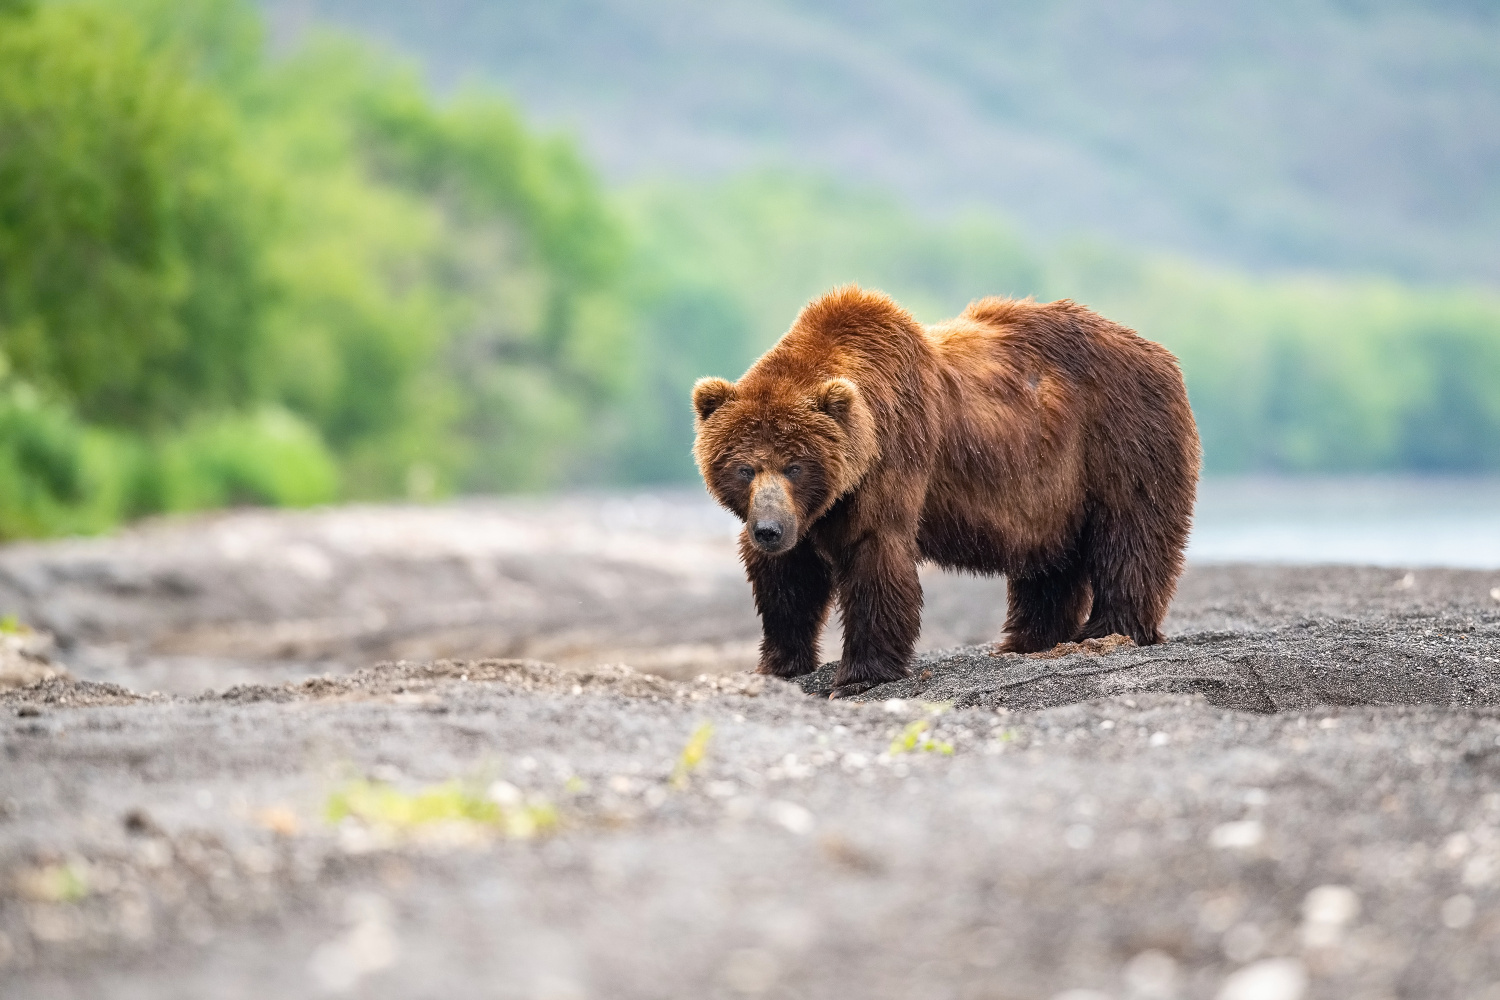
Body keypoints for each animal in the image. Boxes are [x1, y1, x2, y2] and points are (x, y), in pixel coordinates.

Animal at [687, 284, 1194, 701]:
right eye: (744, 468)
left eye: (795, 466)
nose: (768, 530)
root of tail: (1158, 351)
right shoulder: (813, 512)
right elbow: (788, 579)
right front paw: (778, 665)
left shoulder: (893, 454)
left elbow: (875, 557)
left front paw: (859, 676)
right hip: (1053, 486)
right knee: (1050, 559)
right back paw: (1027, 640)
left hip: (1120, 437)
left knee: (1130, 534)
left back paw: (1108, 631)